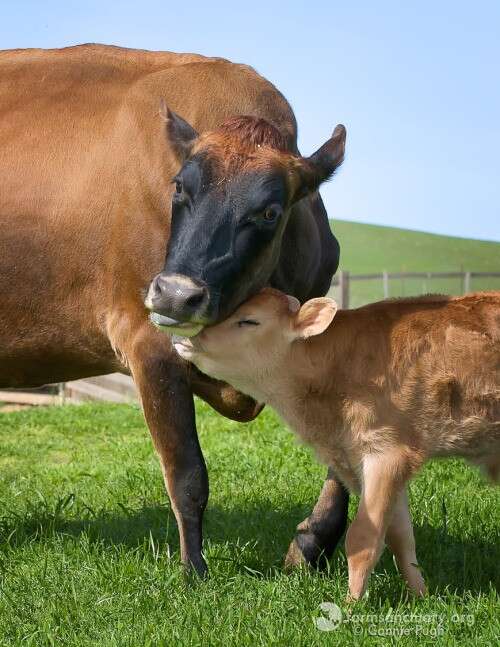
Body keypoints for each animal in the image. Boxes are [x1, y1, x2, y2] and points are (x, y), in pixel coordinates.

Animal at [0, 45, 348, 576]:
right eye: (179, 188)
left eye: (270, 211)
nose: (173, 294)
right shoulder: (149, 342)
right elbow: (186, 473)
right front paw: (194, 575)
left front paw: (312, 543)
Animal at [174, 288, 498, 596]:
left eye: (249, 320)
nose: (184, 336)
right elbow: (400, 536)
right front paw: (420, 595)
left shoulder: (387, 452)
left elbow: (363, 537)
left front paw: (351, 604)